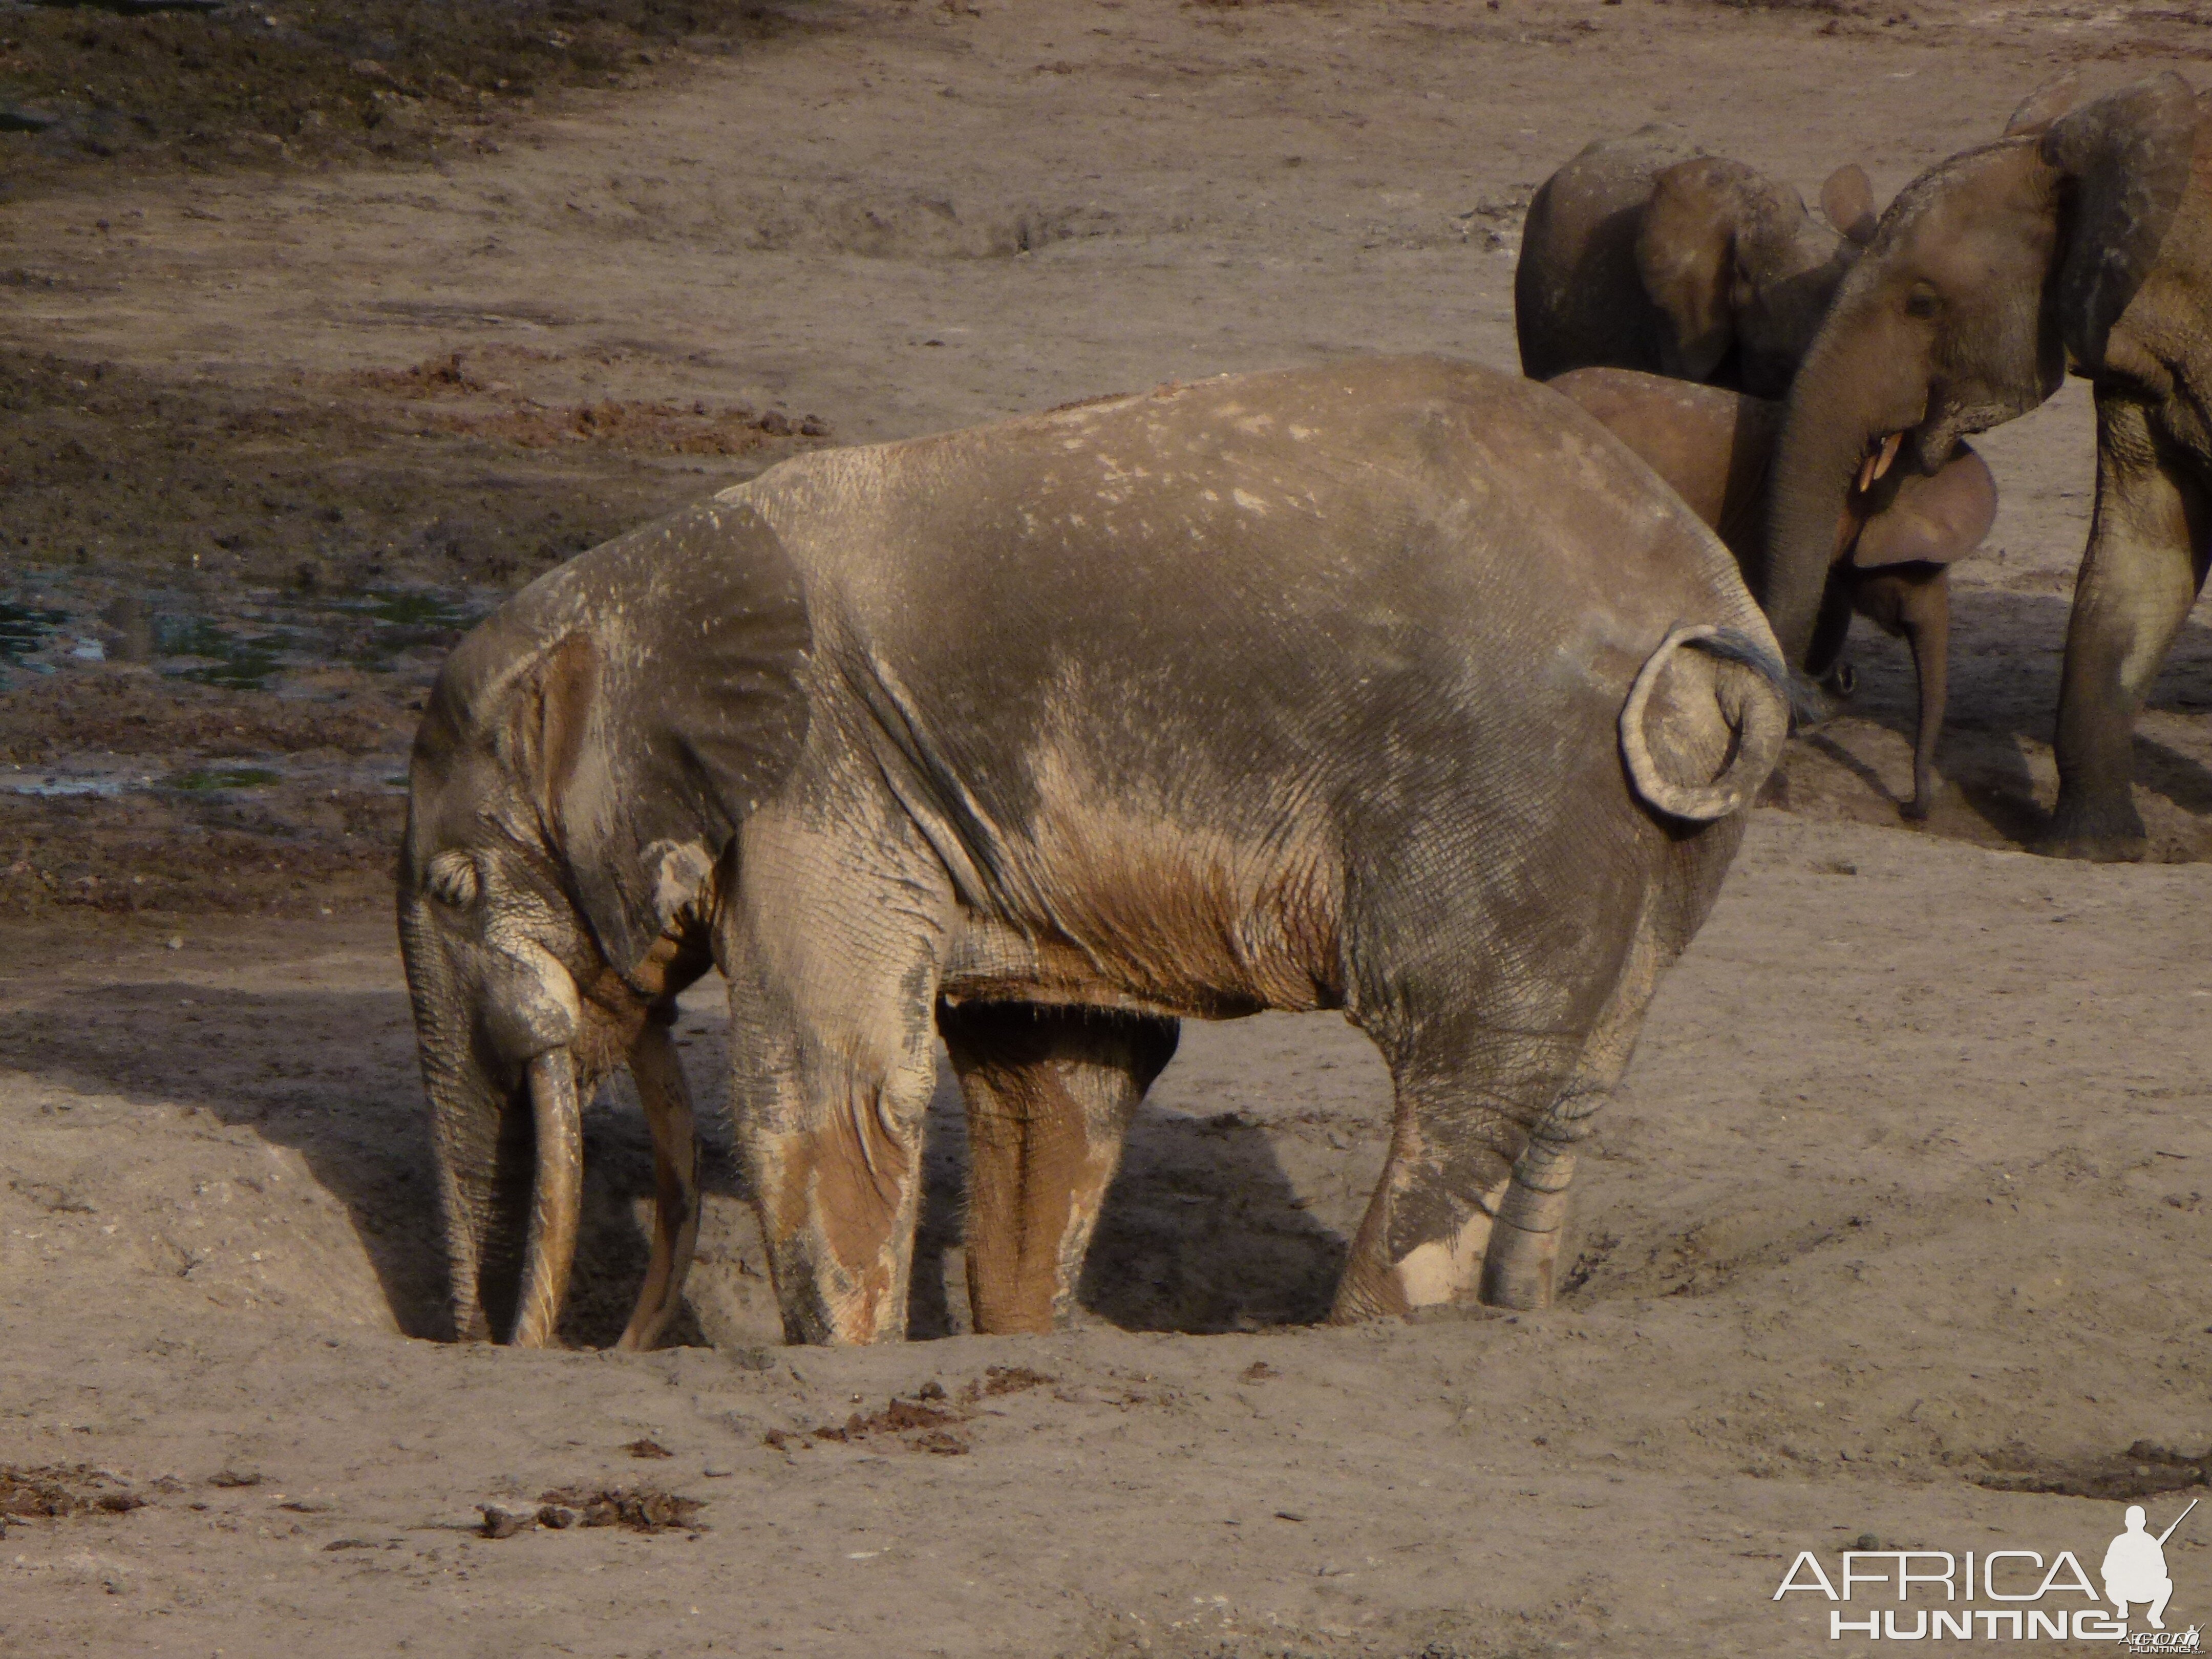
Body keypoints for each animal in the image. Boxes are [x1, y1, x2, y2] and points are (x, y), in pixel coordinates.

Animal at [402, 354, 1796, 1353]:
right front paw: (1017, 1346)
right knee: (1572, 1085)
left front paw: (845, 1362)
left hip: (1516, 799)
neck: (651, 582)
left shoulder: (825, 780)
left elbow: (836, 1081)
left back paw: (1367, 1331)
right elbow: (1054, 1078)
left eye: (452, 888)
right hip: (1658, 837)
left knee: (1465, 1076)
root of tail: (1715, 605)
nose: (503, 1350)